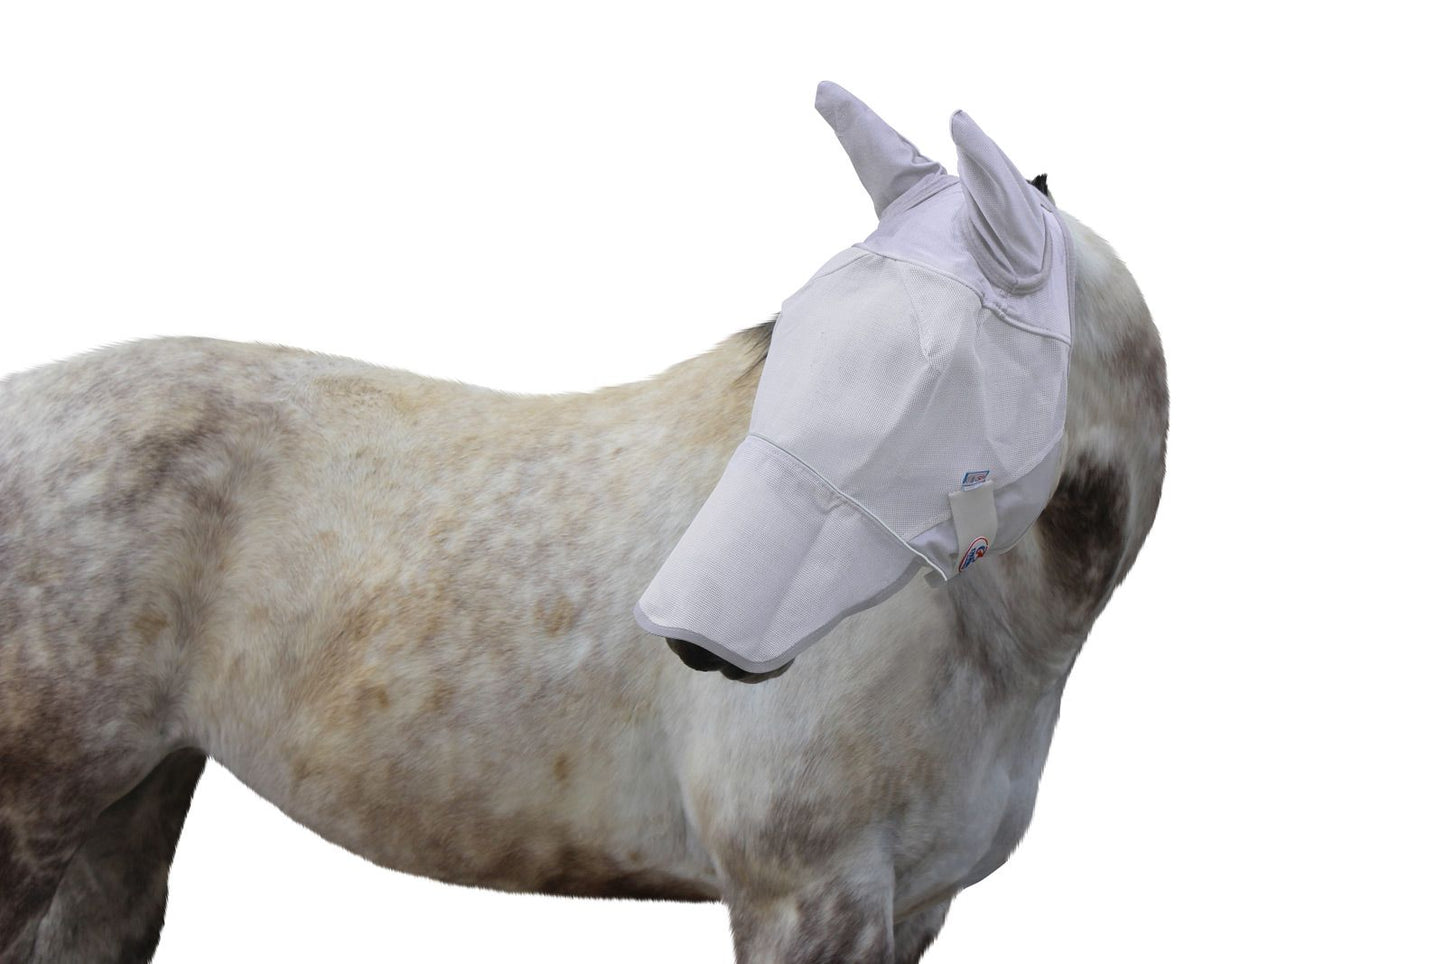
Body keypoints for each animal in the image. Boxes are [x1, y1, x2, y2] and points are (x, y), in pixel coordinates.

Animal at [0, 99, 1167, 963]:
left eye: (932, 366)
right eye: (789, 333)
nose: (692, 635)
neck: (984, 640)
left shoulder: (914, 903)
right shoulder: (806, 893)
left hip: (133, 797)